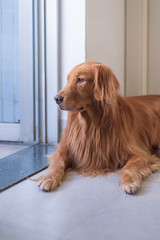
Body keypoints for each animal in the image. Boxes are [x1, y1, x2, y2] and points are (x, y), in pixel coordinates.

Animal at [36, 61, 160, 193]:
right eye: (68, 79)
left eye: (81, 79)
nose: (56, 98)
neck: (92, 123)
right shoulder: (65, 149)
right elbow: (57, 163)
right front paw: (49, 178)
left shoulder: (139, 153)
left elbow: (128, 168)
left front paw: (129, 182)